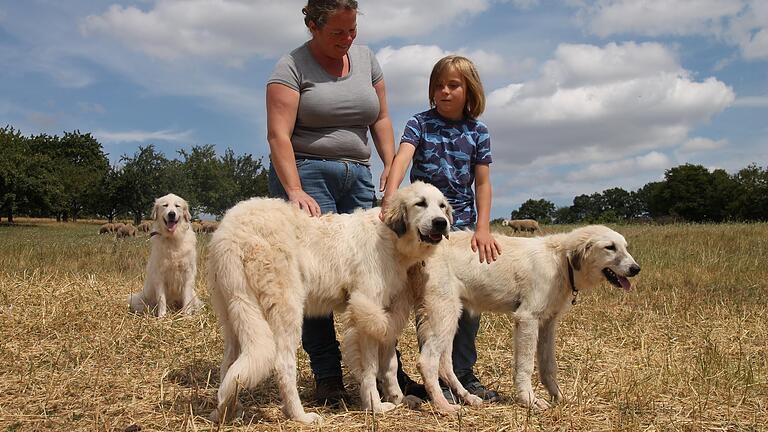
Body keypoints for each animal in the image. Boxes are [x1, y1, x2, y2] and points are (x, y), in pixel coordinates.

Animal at [207, 181, 452, 424]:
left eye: (442, 206)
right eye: (420, 203)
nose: (441, 223)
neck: (390, 237)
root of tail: (231, 230)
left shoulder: (387, 315)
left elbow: (390, 364)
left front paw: (399, 399)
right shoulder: (365, 313)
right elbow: (370, 368)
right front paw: (376, 406)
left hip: (236, 314)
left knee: (229, 364)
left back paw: (226, 410)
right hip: (286, 311)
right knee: (282, 365)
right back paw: (300, 416)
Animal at [412, 226, 640, 412]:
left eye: (626, 247)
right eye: (610, 247)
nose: (636, 269)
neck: (560, 260)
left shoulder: (548, 323)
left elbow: (549, 366)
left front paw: (559, 397)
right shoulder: (527, 319)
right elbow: (526, 365)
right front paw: (529, 400)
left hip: (446, 319)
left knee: (444, 364)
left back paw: (469, 398)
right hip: (445, 314)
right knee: (428, 361)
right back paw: (444, 406)